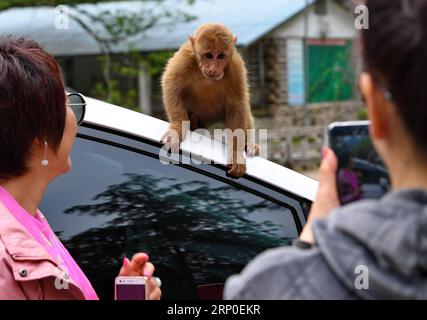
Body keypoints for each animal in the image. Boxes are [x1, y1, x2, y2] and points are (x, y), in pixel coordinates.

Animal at [161, 22, 260, 178]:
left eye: (220, 56)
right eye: (208, 55)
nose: (213, 68)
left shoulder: (235, 67)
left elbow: (237, 105)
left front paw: (236, 155)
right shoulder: (185, 58)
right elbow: (171, 86)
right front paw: (177, 128)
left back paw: (250, 144)